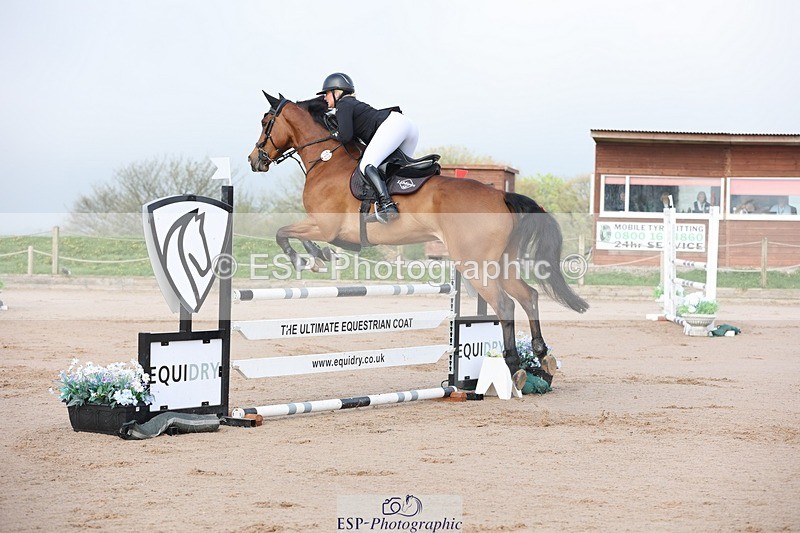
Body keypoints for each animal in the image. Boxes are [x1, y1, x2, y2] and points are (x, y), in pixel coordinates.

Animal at [247, 92, 588, 387]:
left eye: (266, 122)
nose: (254, 160)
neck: (326, 160)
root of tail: (501, 195)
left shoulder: (324, 226)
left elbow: (282, 232)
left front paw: (305, 259)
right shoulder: (322, 228)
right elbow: (296, 236)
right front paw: (318, 257)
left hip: (475, 265)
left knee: (505, 304)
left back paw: (515, 367)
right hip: (501, 262)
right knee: (529, 296)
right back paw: (543, 358)